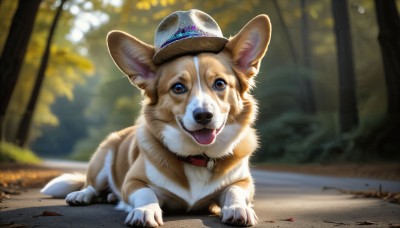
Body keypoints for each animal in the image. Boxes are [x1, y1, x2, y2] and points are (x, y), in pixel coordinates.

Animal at [41, 9, 272, 227]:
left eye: (220, 83)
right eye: (178, 88)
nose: (204, 115)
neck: (198, 157)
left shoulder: (243, 182)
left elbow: (235, 191)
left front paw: (238, 209)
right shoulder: (133, 182)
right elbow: (146, 192)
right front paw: (145, 211)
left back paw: (110, 196)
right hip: (102, 160)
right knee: (90, 185)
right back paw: (81, 195)